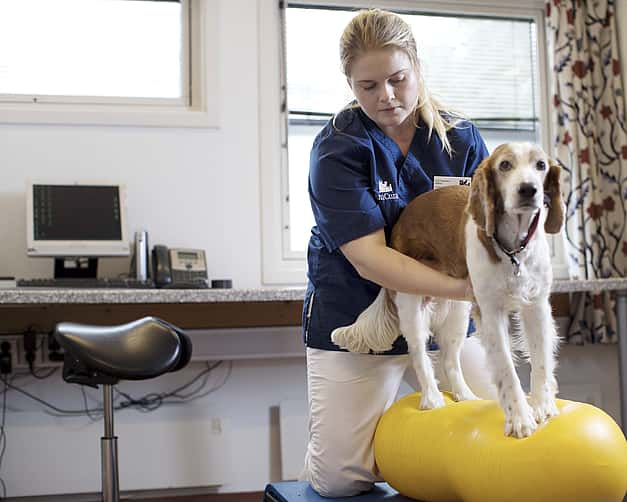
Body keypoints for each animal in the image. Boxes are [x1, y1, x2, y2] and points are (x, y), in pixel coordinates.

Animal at [334, 143, 564, 438]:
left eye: (541, 165)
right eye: (505, 165)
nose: (528, 189)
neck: (513, 250)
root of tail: (395, 232)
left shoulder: (536, 306)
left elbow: (541, 361)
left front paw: (543, 407)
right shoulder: (490, 313)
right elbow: (507, 370)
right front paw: (520, 420)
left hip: (458, 313)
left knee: (449, 360)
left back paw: (465, 396)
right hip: (411, 305)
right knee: (419, 355)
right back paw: (432, 398)